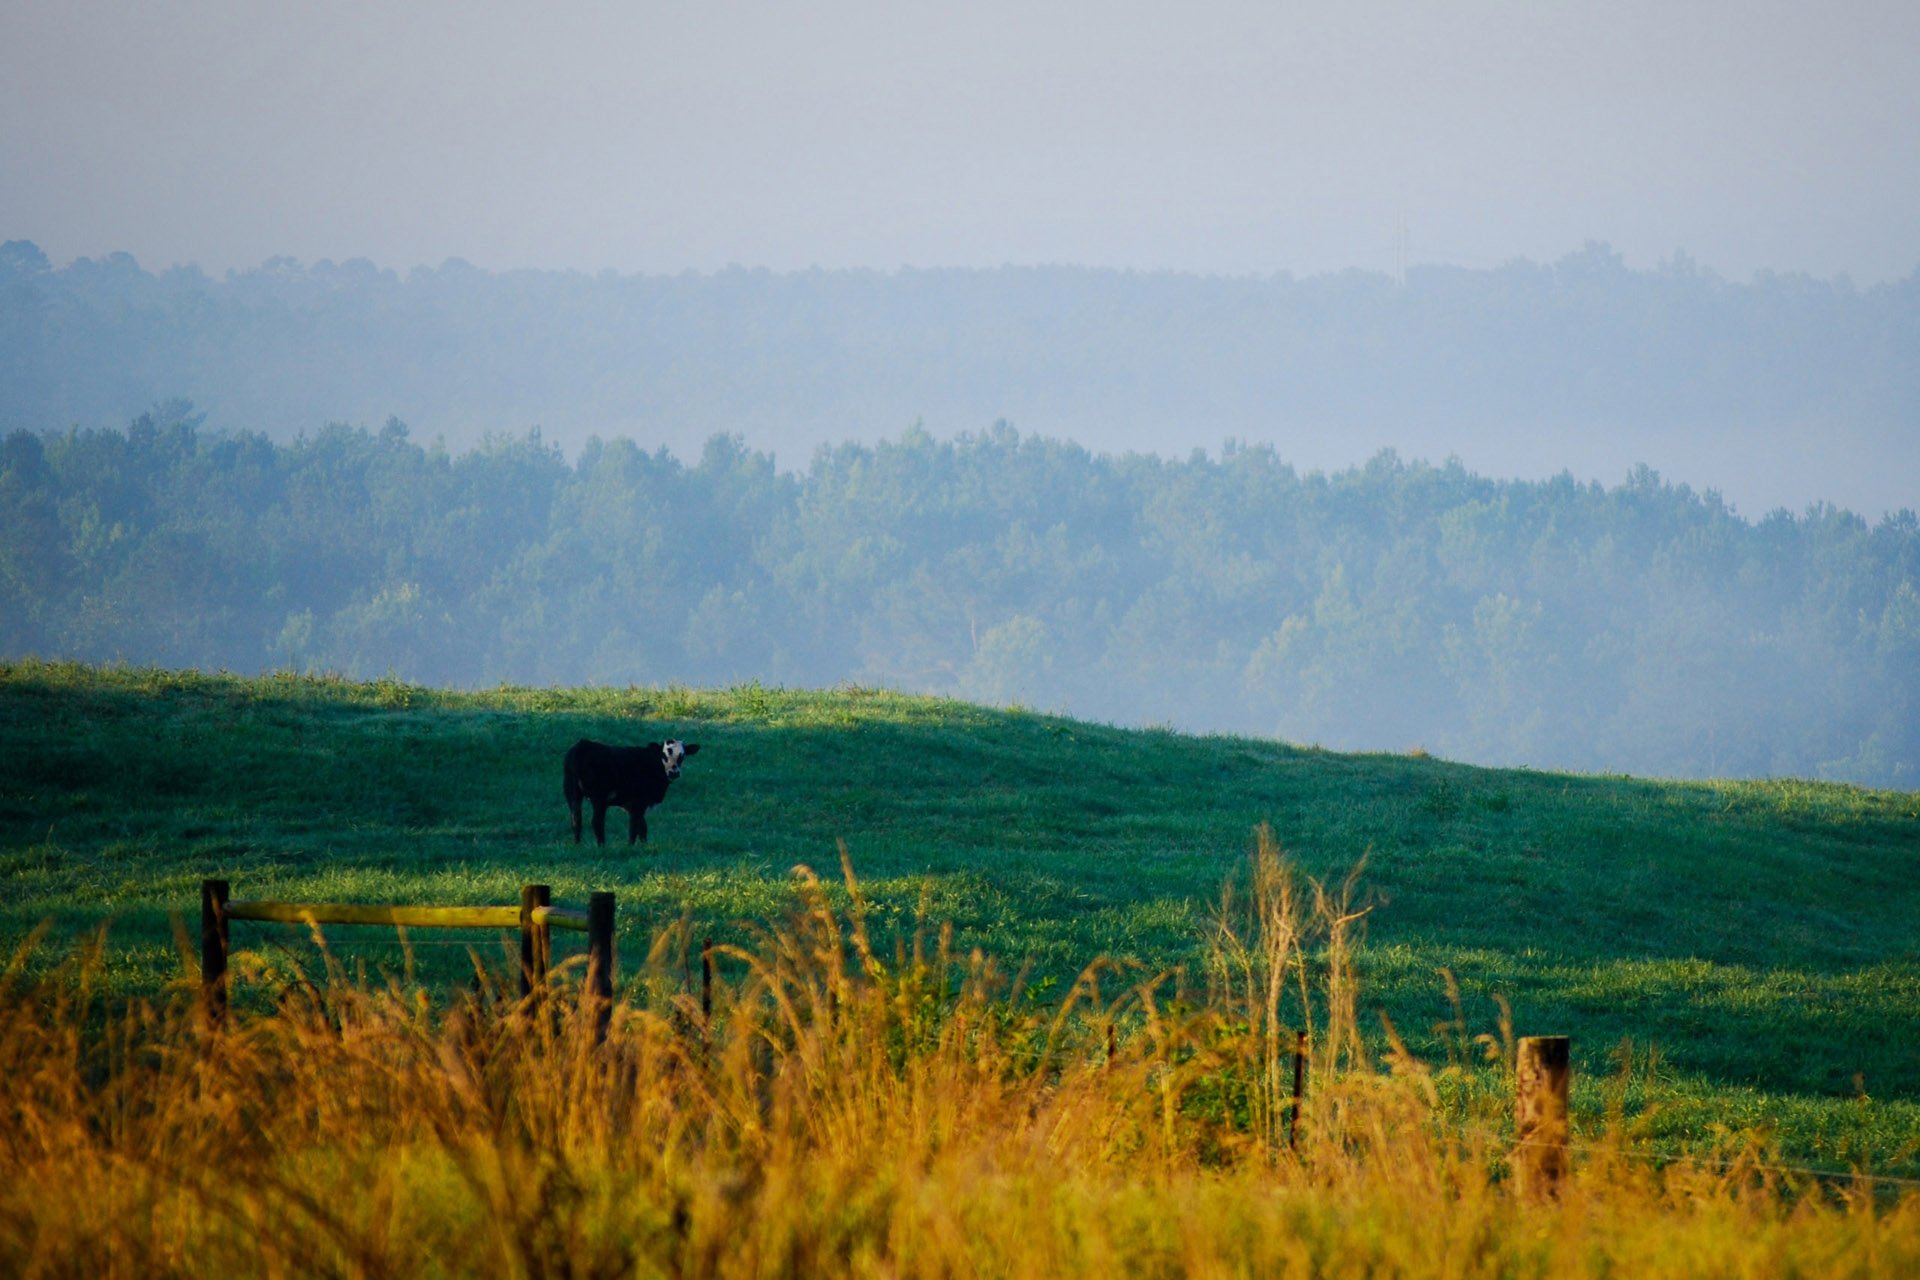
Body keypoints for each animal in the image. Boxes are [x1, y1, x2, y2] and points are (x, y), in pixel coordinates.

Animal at [560, 736, 706, 844]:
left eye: (682, 756)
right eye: (663, 755)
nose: (674, 773)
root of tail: (582, 746)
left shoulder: (633, 805)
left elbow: (642, 827)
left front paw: (644, 845)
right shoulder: (639, 802)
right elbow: (635, 828)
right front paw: (631, 846)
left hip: (571, 792)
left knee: (576, 819)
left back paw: (577, 844)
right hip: (598, 797)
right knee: (596, 822)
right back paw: (602, 846)